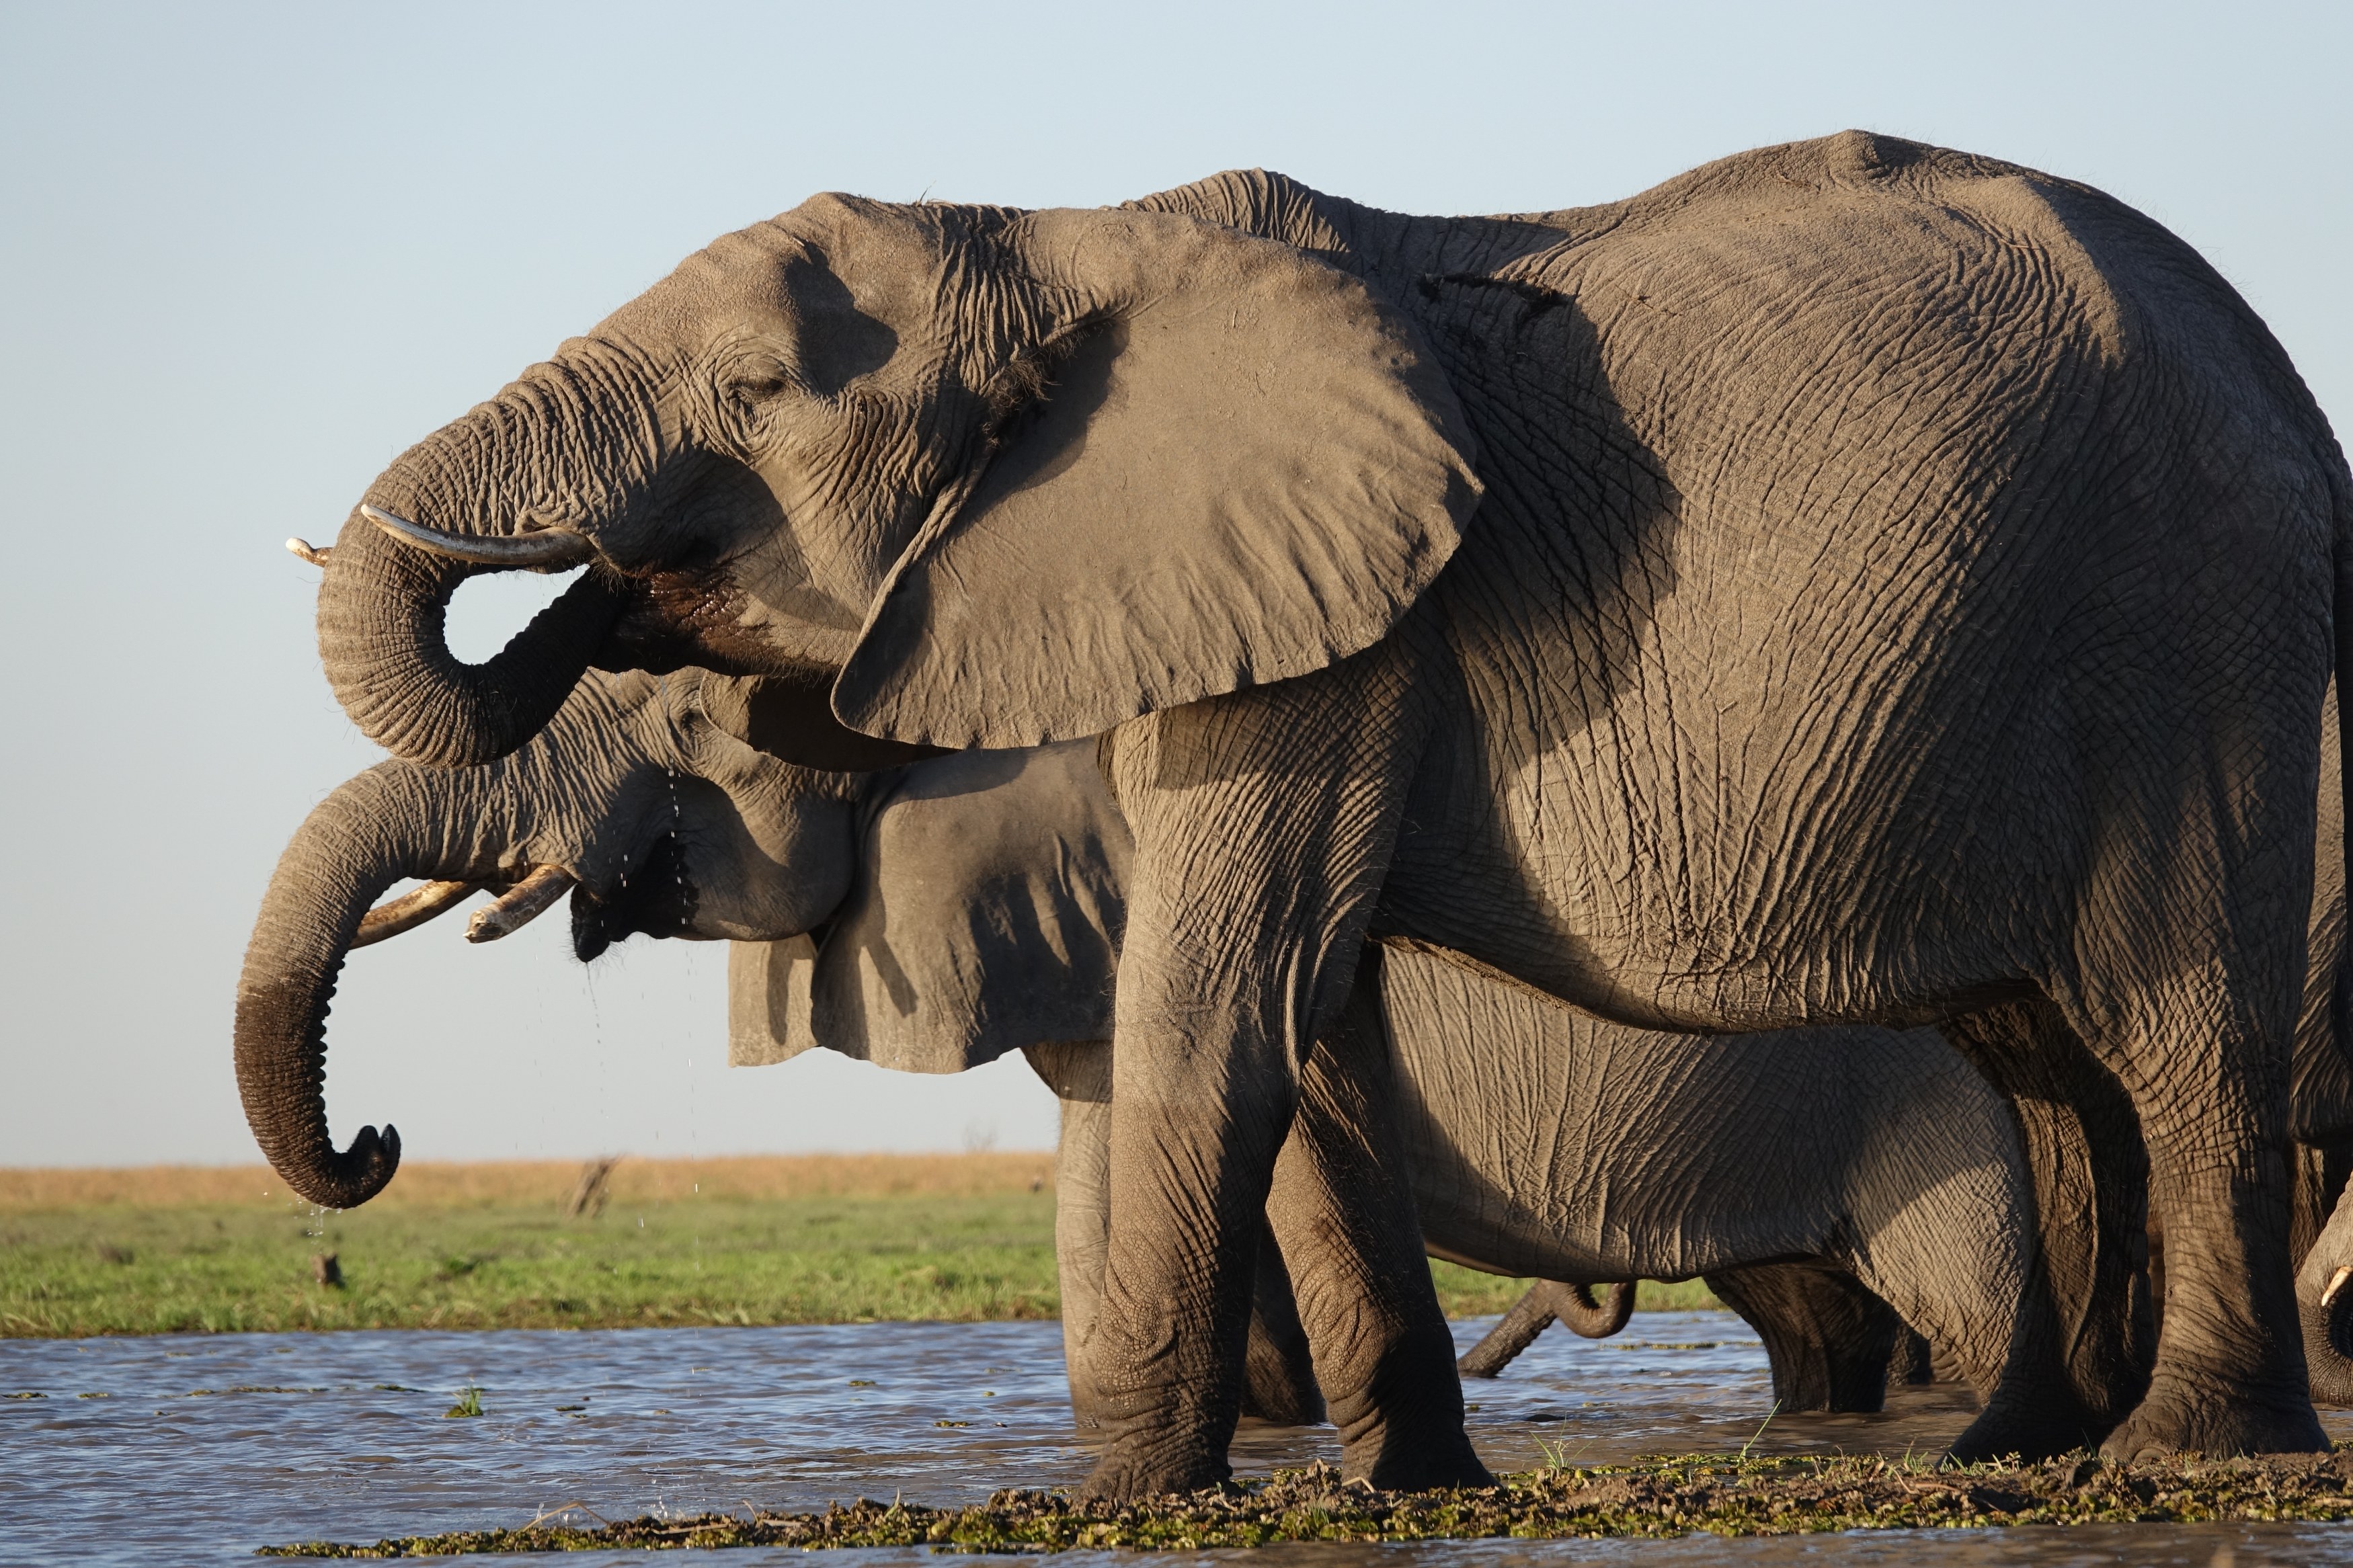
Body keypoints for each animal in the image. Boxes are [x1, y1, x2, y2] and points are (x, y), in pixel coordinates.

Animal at [304, 131, 2353, 1482]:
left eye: (753, 387)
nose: (374, 1145)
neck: (1060, 232)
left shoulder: (1323, 632)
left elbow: (1223, 1010)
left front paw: (1124, 1497)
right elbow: (1314, 1026)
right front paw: (1412, 1486)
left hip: (2202, 629)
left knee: (2175, 1036)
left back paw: (2183, 1463)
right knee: (2040, 1057)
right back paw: (2006, 1458)